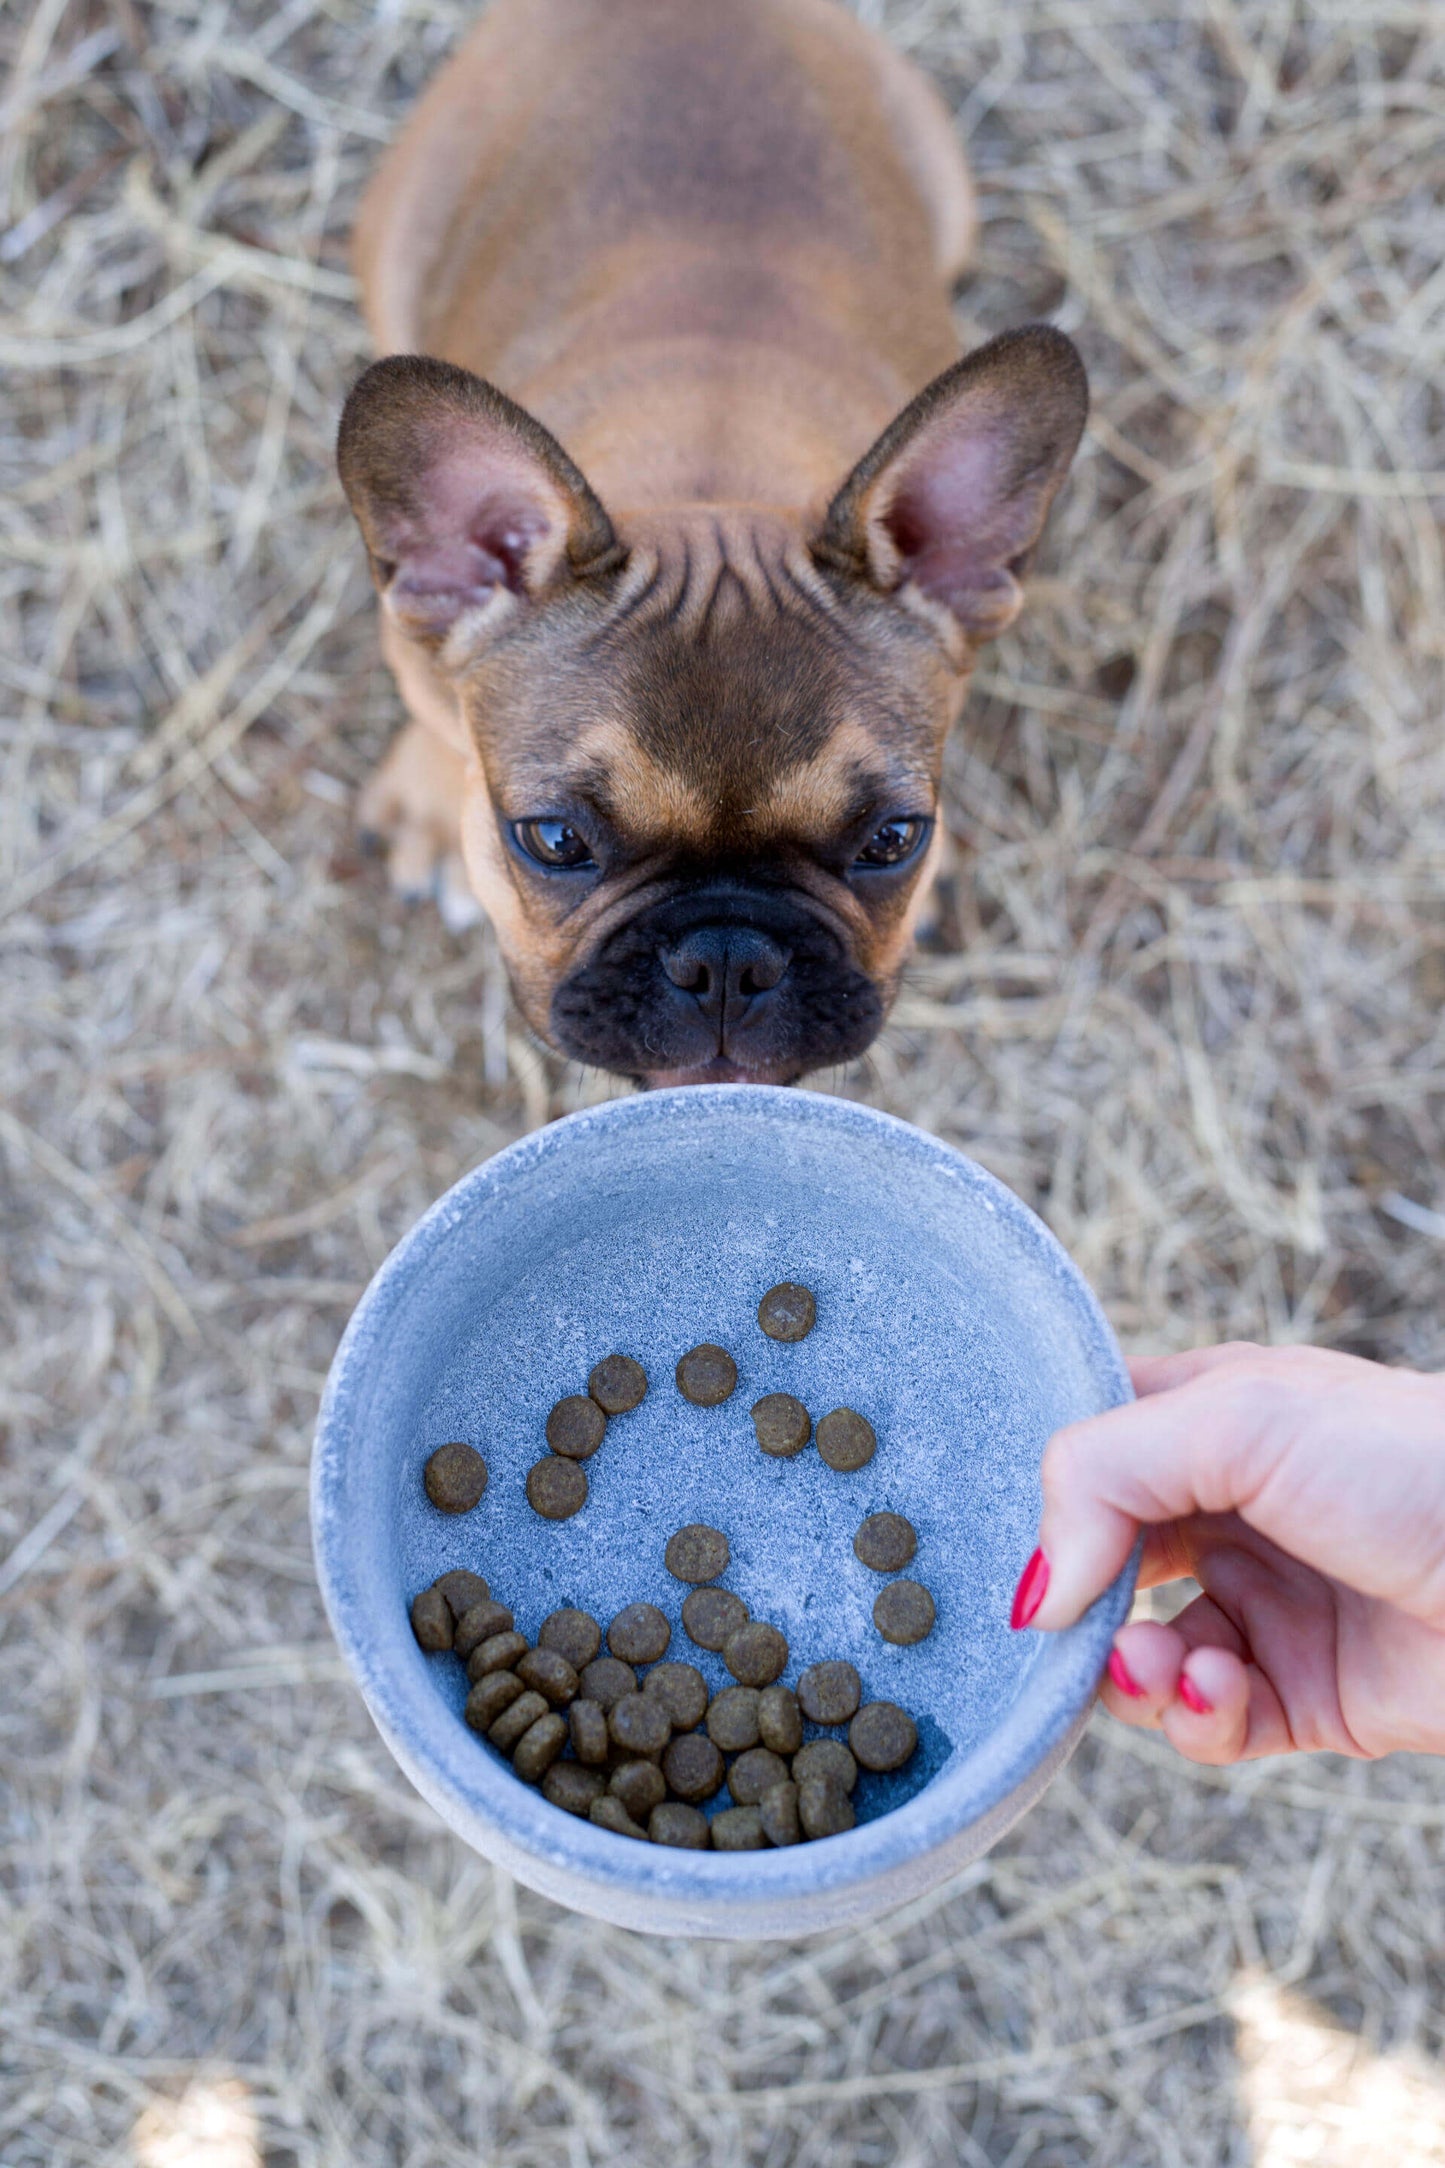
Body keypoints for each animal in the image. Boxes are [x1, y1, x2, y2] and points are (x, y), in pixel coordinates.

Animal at [340, 0, 1083, 1084]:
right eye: (552, 840)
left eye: (893, 839)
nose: (727, 956)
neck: (710, 469)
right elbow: (438, 720)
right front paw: (437, 803)